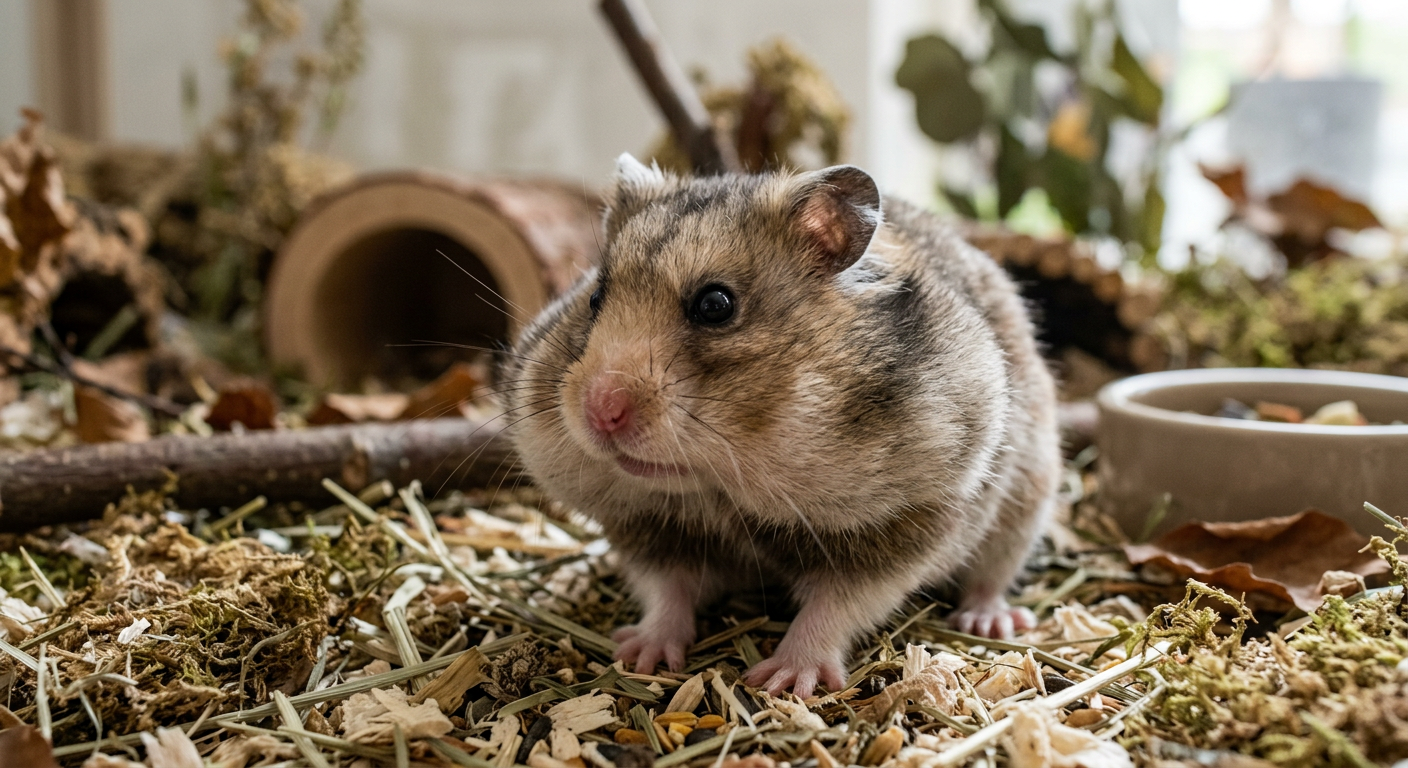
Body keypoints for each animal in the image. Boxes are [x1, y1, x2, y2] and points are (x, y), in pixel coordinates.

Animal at [497, 154, 1061, 697]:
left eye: (715, 305)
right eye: (594, 299)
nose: (599, 413)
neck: (717, 489)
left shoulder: (908, 522)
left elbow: (836, 608)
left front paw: (784, 680)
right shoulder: (647, 529)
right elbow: (667, 591)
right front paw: (639, 656)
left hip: (1027, 502)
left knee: (992, 578)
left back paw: (989, 621)